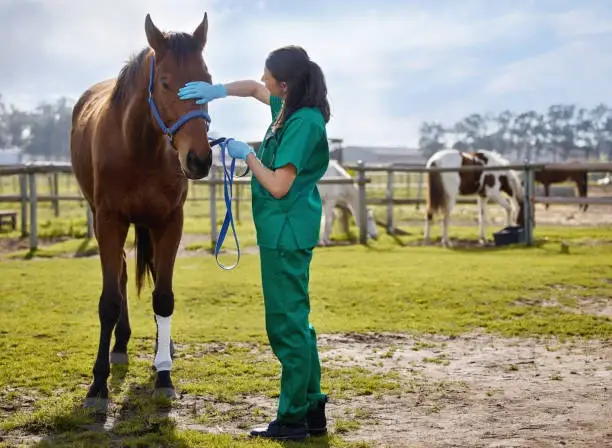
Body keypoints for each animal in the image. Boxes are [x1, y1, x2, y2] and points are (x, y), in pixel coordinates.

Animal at [69, 13, 215, 412]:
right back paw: (120, 345)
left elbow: (163, 297)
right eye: (165, 82)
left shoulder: (170, 222)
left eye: (207, 78)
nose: (199, 159)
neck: (139, 147)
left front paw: (164, 376)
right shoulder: (109, 221)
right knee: (119, 274)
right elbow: (109, 301)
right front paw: (97, 385)